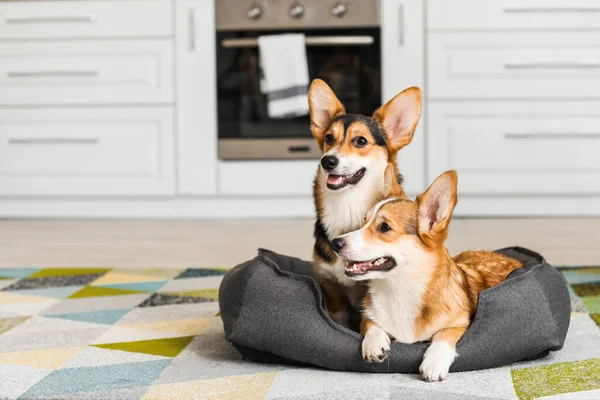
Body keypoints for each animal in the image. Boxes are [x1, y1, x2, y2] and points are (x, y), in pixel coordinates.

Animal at [330, 168, 524, 382]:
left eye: (384, 227)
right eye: (363, 222)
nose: (335, 243)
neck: (400, 289)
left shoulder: (460, 324)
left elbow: (443, 335)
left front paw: (433, 363)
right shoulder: (368, 316)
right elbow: (372, 324)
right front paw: (374, 344)